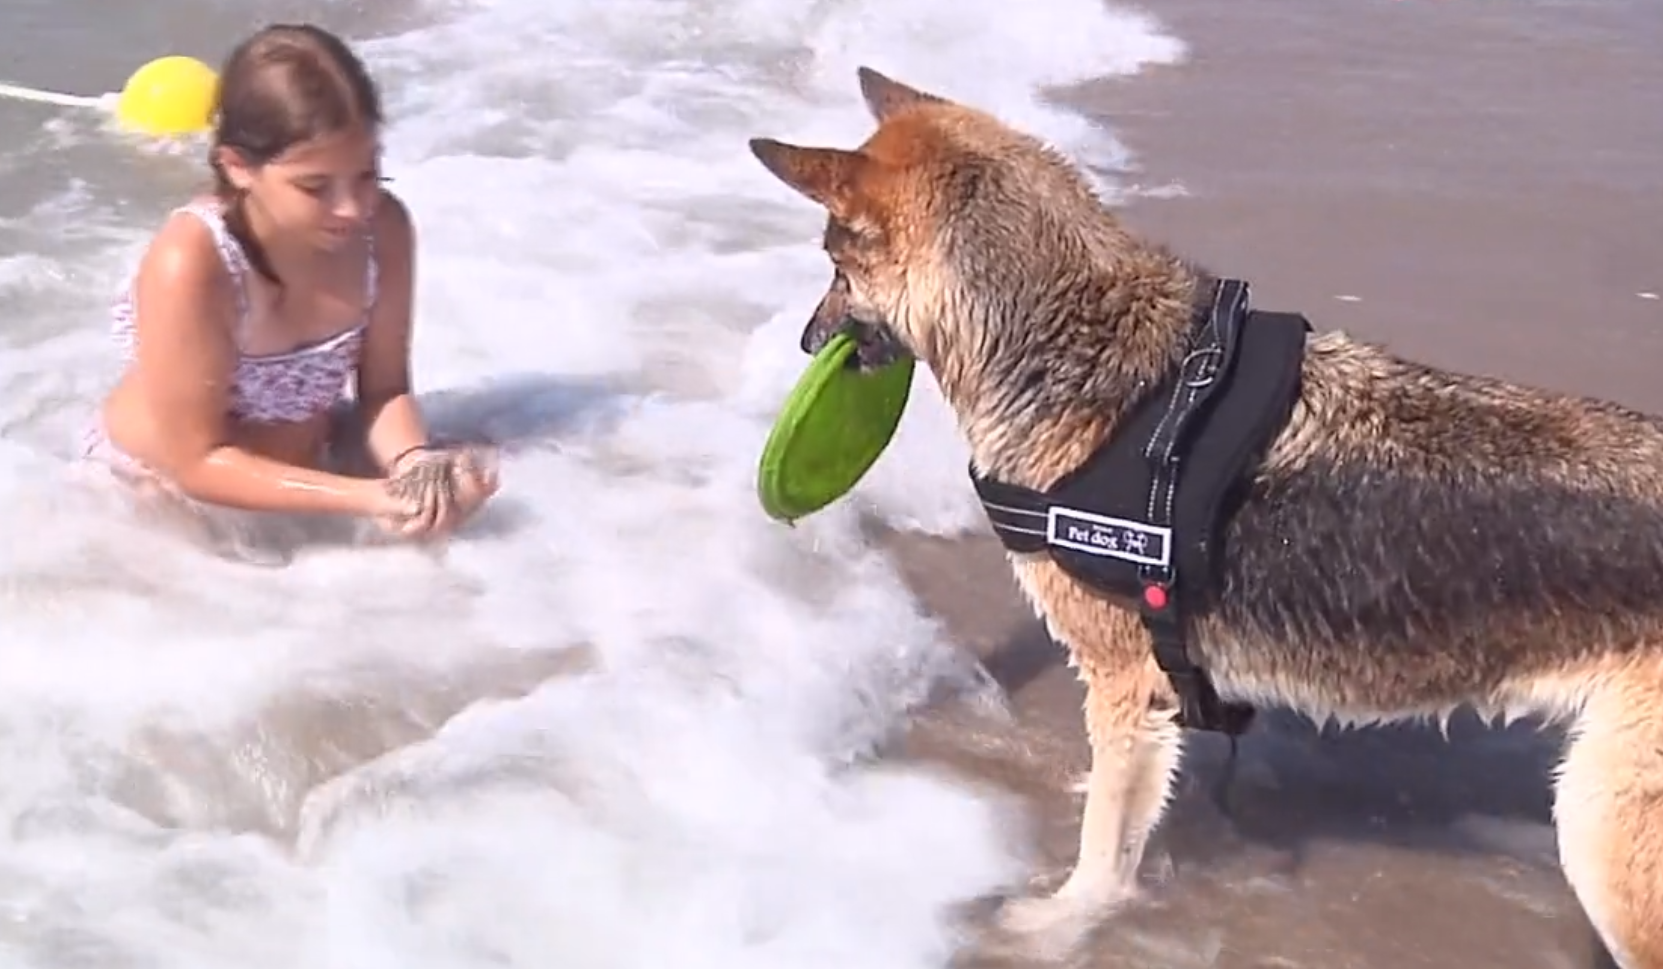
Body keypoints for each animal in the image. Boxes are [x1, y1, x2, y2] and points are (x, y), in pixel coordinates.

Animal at [748, 70, 1656, 969]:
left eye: (835, 265)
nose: (804, 341)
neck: (1090, 358)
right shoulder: (1141, 698)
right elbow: (1120, 790)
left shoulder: (1123, 678)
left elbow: (1104, 850)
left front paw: (1059, 923)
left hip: (1599, 827)